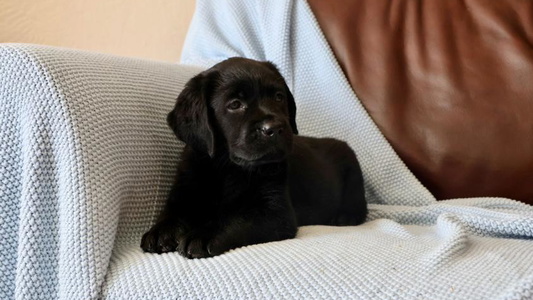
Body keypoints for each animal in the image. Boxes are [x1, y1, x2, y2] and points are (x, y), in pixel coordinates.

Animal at [140, 57, 366, 258]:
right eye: (235, 104)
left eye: (278, 97)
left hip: (353, 172)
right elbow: (173, 212)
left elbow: (234, 218)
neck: (228, 167)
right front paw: (160, 231)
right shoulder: (185, 190)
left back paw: (345, 217)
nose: (274, 128)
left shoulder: (275, 213)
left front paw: (202, 234)